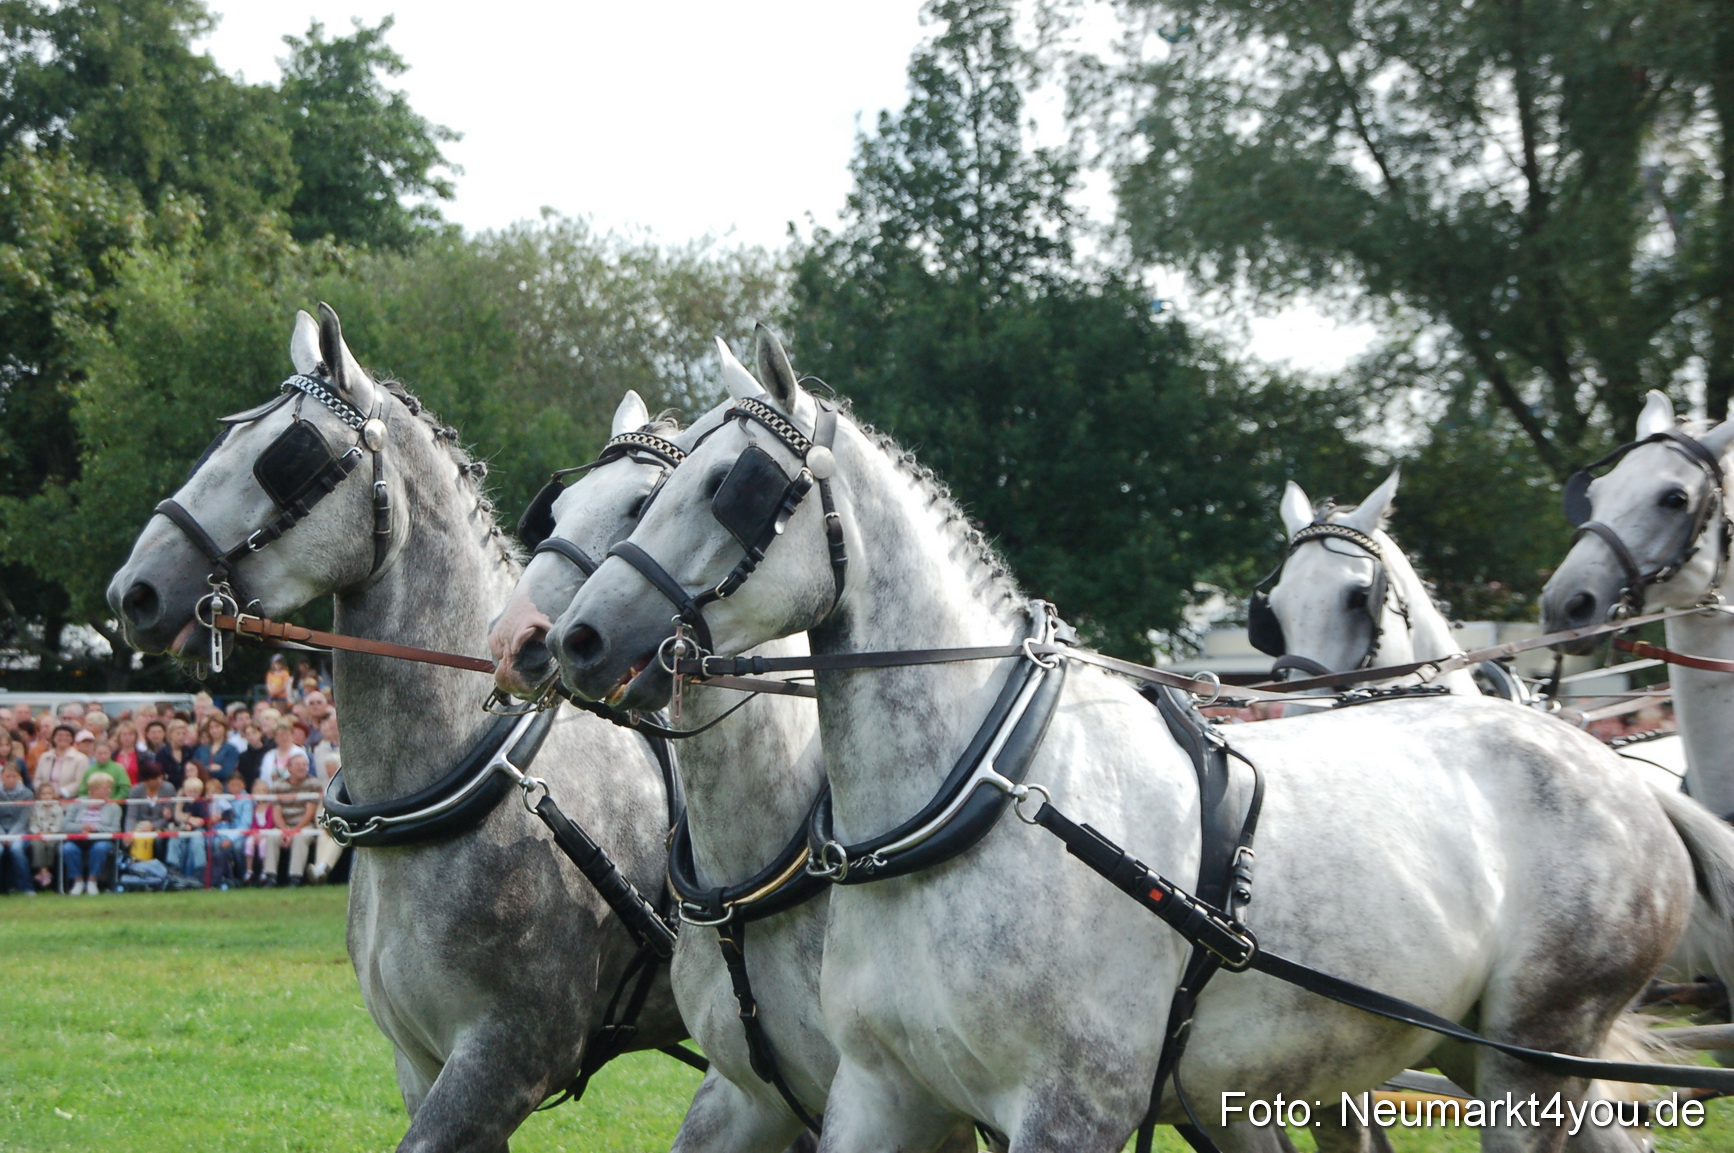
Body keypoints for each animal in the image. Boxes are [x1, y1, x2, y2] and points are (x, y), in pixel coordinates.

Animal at [107, 305, 685, 1153]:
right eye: (223, 441)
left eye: (287, 456)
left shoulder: (503, 1060)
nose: (135, 591)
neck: (468, 778)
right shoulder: (421, 1060)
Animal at [545, 326, 1734, 1153]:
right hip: (1479, 1052)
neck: (983, 795)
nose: (574, 637)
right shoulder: (883, 1092)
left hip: (1531, 1061)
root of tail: (1620, 774)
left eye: (733, 486)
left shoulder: (1071, 1106)